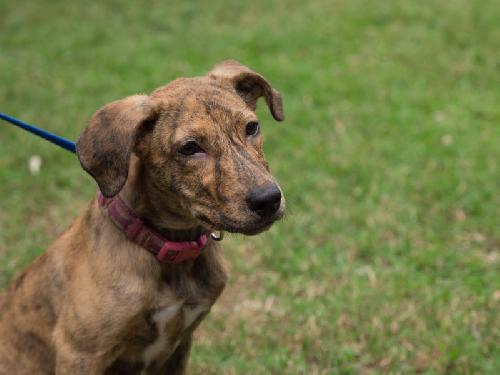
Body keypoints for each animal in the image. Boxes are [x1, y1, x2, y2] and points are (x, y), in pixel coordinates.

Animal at [0, 60, 286, 374]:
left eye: (251, 127)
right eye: (189, 148)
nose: (268, 200)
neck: (169, 249)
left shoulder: (180, 344)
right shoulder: (80, 353)